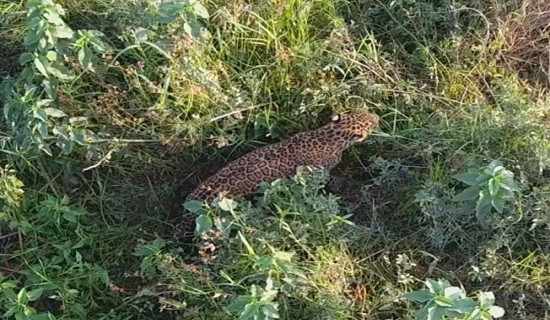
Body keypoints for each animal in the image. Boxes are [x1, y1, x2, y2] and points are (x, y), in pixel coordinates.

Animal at [179, 110, 382, 238]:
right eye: (370, 122)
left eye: (362, 111)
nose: (377, 115)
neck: (329, 135)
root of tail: (186, 213)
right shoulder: (319, 173)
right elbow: (334, 181)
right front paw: (351, 184)